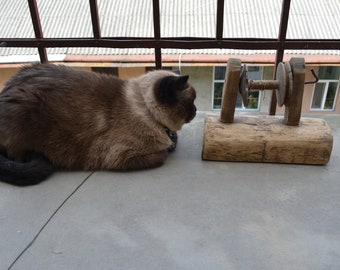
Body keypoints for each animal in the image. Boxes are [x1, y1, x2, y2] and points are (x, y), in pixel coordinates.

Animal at [0, 63, 197, 186]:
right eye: (191, 102)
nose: (196, 111)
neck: (146, 109)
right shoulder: (120, 156)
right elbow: (162, 154)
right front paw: (168, 147)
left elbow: (173, 141)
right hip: (25, 104)